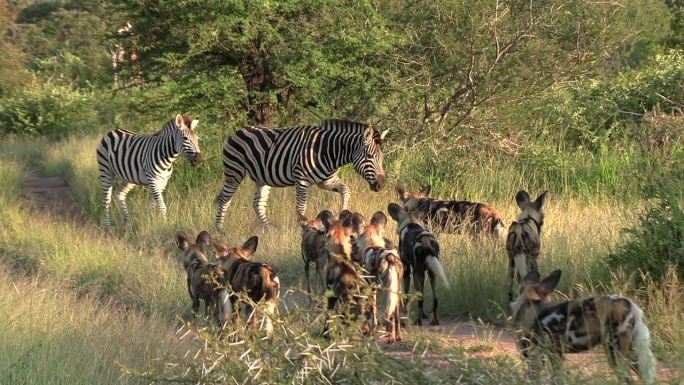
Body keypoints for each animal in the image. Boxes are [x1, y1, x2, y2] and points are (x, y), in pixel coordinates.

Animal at [215, 119, 384, 228]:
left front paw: (342, 215)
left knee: (258, 204)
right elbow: (301, 207)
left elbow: (345, 190)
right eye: (369, 156)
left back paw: (267, 230)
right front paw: (301, 229)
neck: (327, 150)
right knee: (224, 200)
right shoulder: (302, 180)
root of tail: (238, 130)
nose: (380, 185)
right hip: (234, 171)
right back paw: (219, 229)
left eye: (382, 158)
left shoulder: (326, 181)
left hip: (262, 178)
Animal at [356, 210, 404, 342]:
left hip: (388, 290)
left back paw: (390, 338)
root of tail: (390, 257)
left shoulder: (371, 288)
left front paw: (370, 332)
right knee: (396, 316)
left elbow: (373, 313)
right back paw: (397, 337)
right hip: (396, 292)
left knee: (389, 316)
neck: (372, 243)